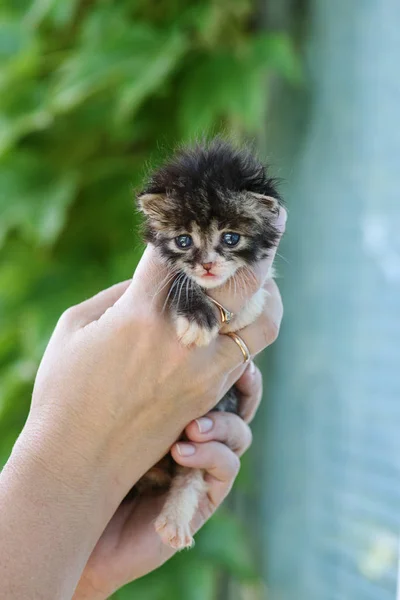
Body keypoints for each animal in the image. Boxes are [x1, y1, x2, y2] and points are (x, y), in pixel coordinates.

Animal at [134, 138, 282, 552]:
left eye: (230, 238)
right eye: (184, 241)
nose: (207, 266)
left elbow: (255, 301)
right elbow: (177, 281)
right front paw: (197, 315)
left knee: (192, 472)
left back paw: (173, 520)